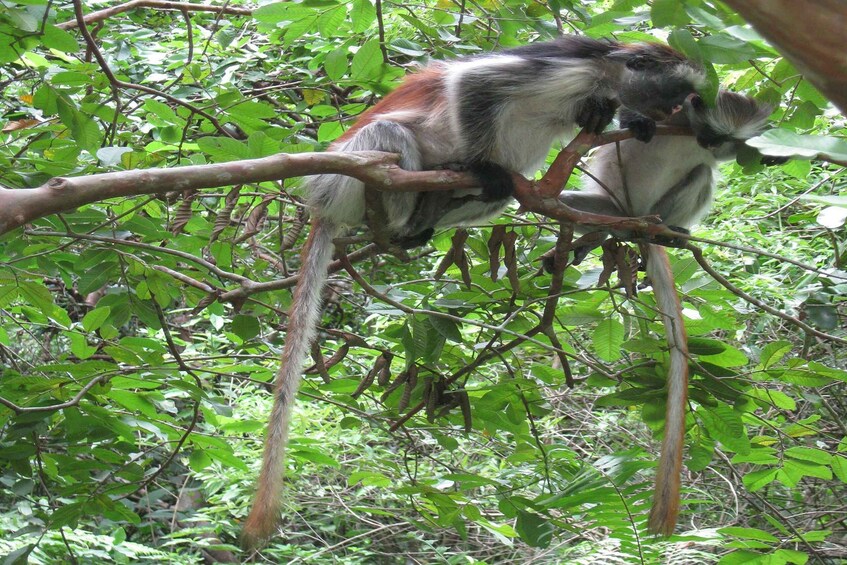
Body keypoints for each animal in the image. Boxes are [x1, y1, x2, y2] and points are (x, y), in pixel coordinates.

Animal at [242, 34, 704, 540]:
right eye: (674, 91)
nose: (677, 111)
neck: (604, 74)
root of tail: (322, 204)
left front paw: (617, 118)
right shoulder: (566, 68)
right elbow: (472, 82)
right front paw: (482, 163)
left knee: (498, 192)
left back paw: (424, 219)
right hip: (344, 178)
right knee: (393, 136)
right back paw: (416, 208)